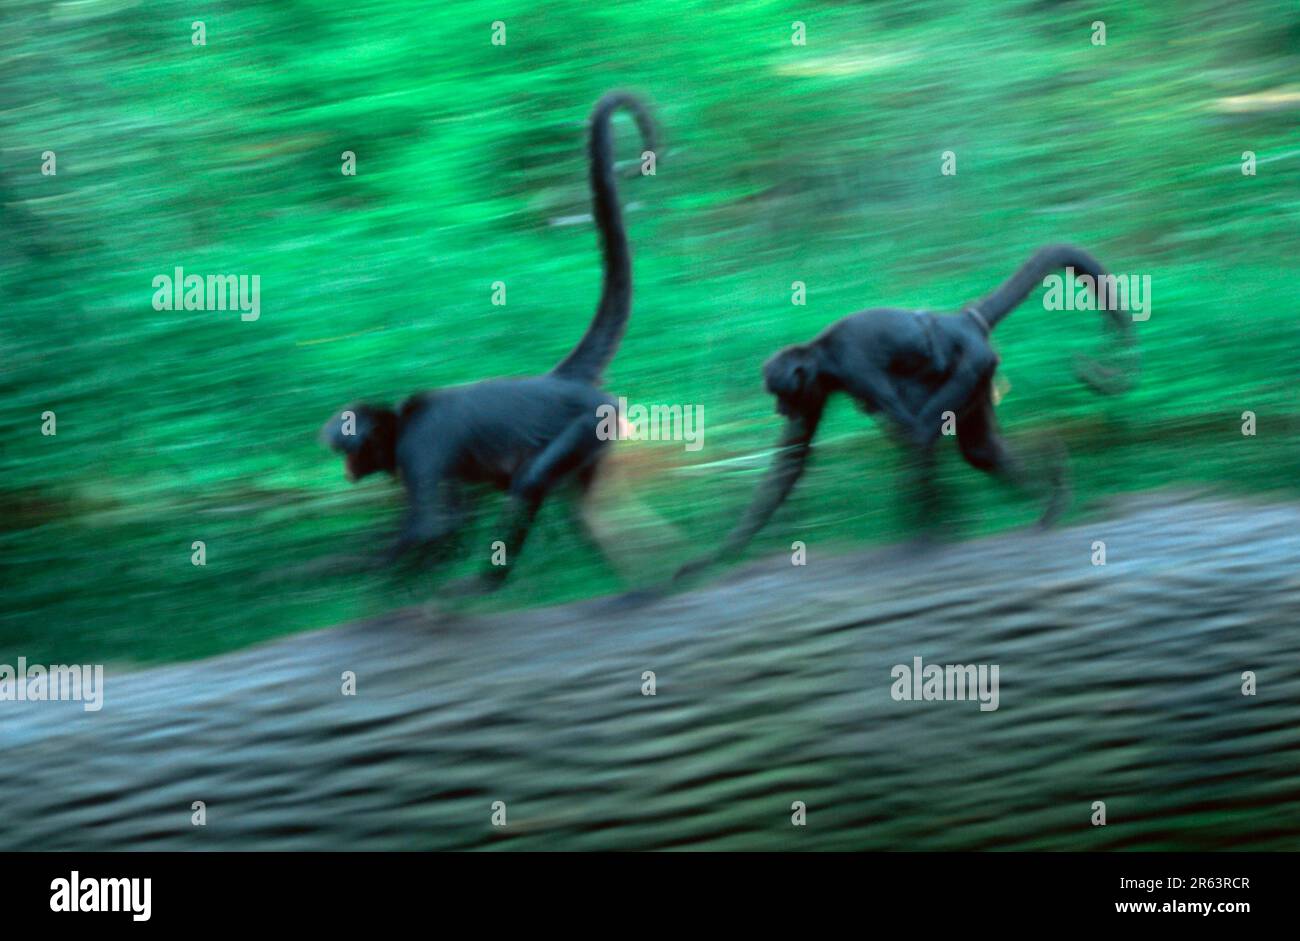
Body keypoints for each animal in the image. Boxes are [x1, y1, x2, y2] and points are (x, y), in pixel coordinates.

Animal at [320, 92, 656, 592]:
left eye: (349, 450)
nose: (345, 469)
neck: (402, 421)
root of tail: (560, 380)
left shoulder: (420, 448)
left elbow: (433, 526)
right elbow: (456, 518)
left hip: (590, 423)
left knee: (528, 482)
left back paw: (487, 582)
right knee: (573, 505)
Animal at [676, 243, 1138, 580]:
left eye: (779, 393)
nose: (777, 407)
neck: (822, 353)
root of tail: (964, 319)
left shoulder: (854, 366)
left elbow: (911, 429)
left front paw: (920, 543)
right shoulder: (818, 390)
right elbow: (789, 467)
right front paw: (712, 558)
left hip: (971, 364)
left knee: (923, 427)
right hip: (980, 376)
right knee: (979, 450)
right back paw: (1052, 494)